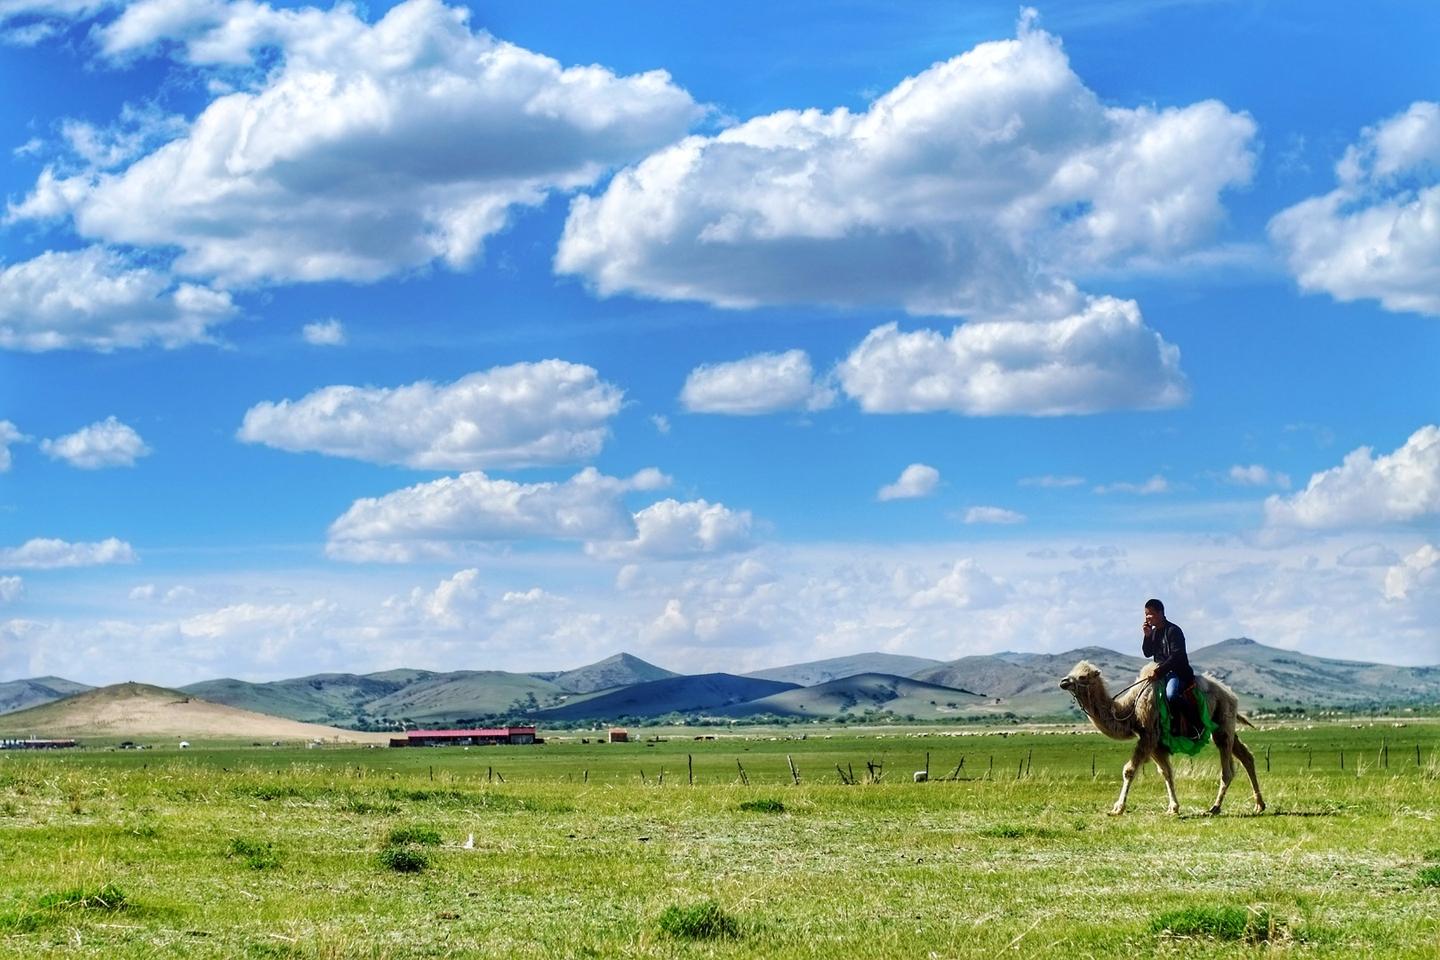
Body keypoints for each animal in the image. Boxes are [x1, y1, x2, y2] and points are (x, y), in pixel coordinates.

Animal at [1054, 662, 1267, 817]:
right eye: (1071, 672)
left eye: (1082, 676)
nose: (1063, 681)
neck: (1131, 710)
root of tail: (1231, 694)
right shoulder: (1156, 743)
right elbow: (1166, 772)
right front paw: (1173, 807)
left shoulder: (1149, 736)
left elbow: (1129, 770)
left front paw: (1117, 808)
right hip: (1223, 727)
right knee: (1246, 756)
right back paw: (1259, 805)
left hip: (1223, 723)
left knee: (1227, 769)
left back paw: (1215, 807)